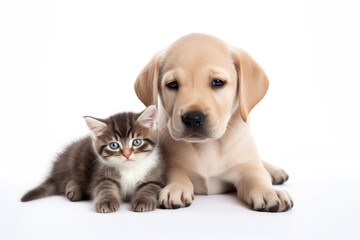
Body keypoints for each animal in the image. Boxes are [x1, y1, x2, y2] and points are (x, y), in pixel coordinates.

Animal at [21, 106, 165, 213]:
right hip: (76, 161)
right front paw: (106, 201)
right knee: (67, 180)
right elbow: (105, 187)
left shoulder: (156, 176)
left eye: (136, 142)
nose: (127, 155)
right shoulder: (101, 174)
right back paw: (73, 190)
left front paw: (143, 200)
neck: (129, 168)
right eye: (114, 145)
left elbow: (150, 187)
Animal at [134, 33, 292, 212]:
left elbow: (257, 176)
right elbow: (175, 173)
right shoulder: (169, 164)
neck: (206, 147)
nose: (193, 118)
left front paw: (268, 192)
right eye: (172, 84)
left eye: (218, 82)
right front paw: (175, 188)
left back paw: (274, 171)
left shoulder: (246, 166)